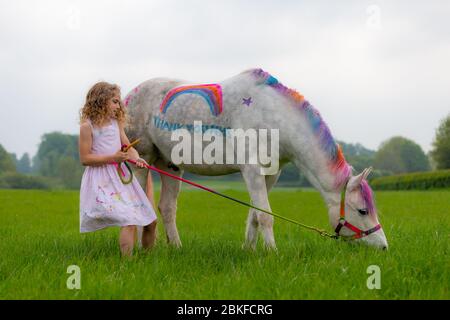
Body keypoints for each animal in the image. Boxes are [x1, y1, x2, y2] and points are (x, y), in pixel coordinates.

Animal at [125, 68, 388, 250]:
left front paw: (249, 250)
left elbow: (255, 214)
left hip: (170, 165)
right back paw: (138, 249)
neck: (273, 118)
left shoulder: (271, 173)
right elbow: (265, 215)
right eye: (363, 211)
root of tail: (128, 96)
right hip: (142, 160)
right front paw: (272, 252)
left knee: (168, 208)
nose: (384, 246)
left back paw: (177, 248)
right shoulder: (251, 170)